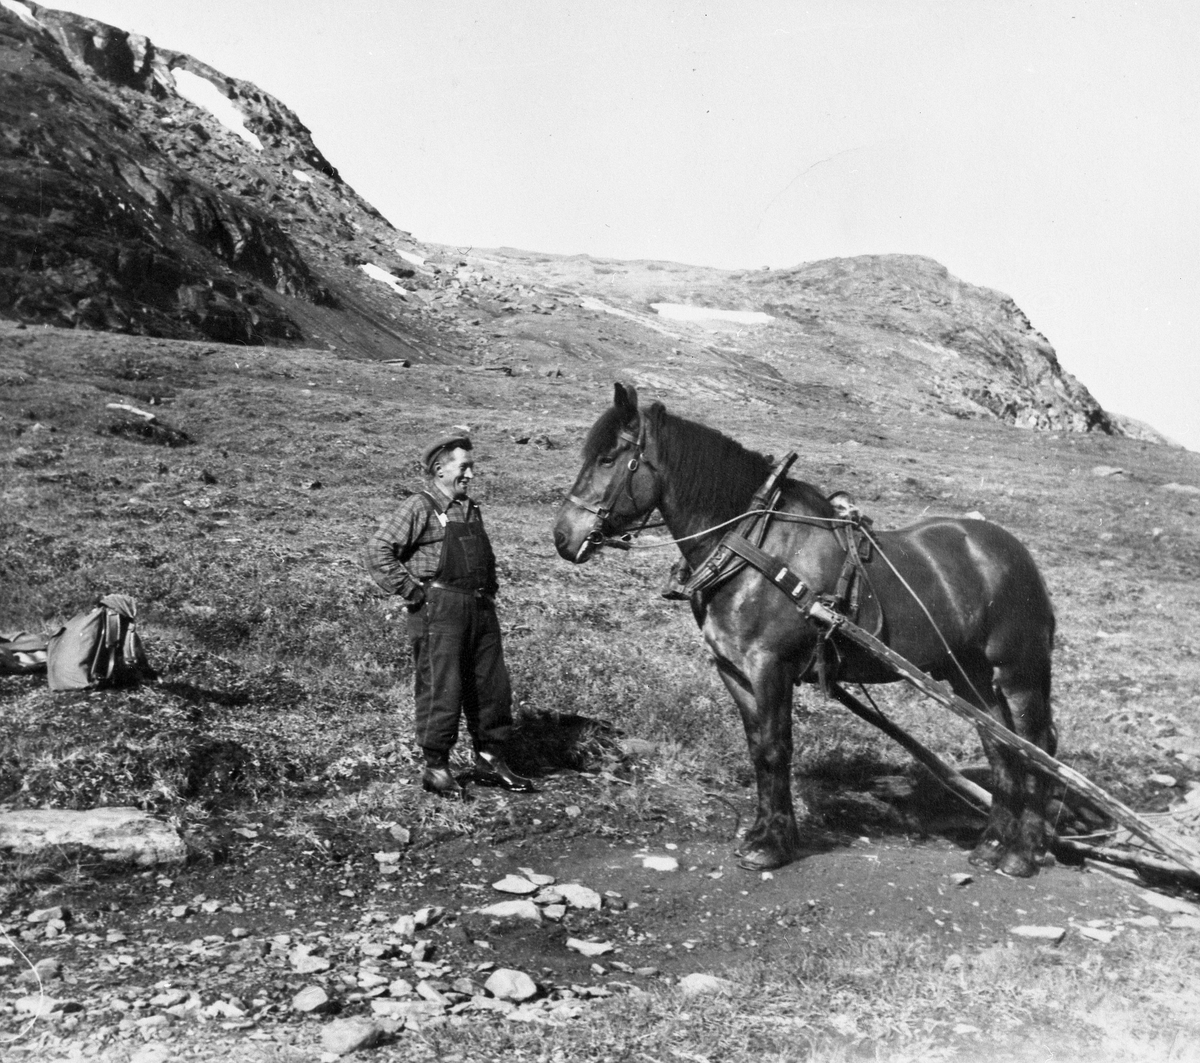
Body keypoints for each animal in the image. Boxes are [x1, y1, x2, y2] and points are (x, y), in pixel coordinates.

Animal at [552, 386, 1060, 878]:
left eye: (607, 458)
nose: (562, 537)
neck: (752, 545)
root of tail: (1013, 553)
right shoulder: (734, 671)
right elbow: (758, 750)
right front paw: (760, 834)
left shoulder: (770, 667)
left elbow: (777, 749)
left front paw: (772, 847)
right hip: (967, 676)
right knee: (1001, 748)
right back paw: (992, 845)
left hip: (1018, 672)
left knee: (1037, 748)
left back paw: (1022, 853)